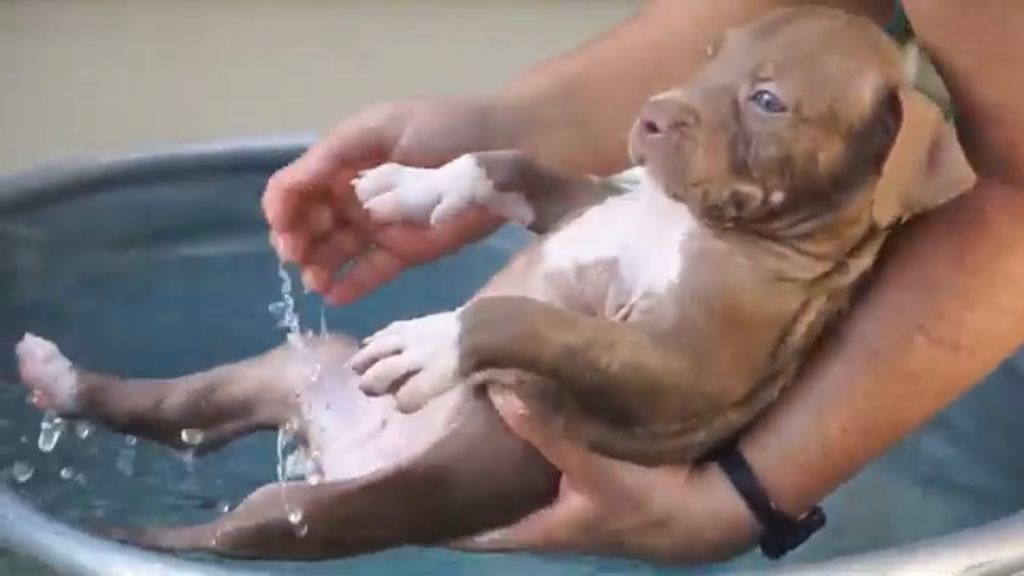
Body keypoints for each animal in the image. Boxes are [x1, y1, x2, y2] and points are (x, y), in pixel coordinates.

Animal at [14, 5, 974, 561]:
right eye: (710, 53)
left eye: (768, 102)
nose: (648, 116)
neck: (687, 221)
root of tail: (343, 451)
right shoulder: (583, 204)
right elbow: (503, 162)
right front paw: (412, 186)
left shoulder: (674, 372)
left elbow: (532, 320)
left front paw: (436, 342)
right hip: (295, 367)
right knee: (178, 413)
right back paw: (58, 379)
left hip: (319, 513)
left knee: (214, 534)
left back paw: (115, 534)